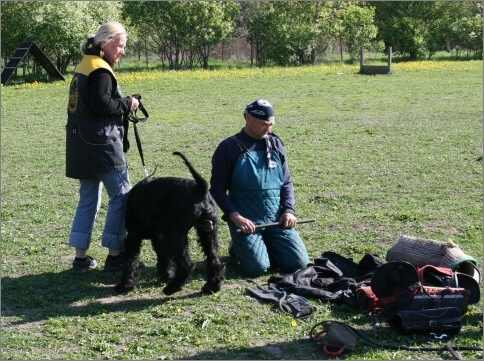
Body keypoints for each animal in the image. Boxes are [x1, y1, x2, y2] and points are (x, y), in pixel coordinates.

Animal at [115, 150, 225, 294]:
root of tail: (200, 189)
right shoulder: (159, 237)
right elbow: (163, 256)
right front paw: (167, 275)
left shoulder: (134, 236)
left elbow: (131, 260)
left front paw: (126, 285)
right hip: (208, 233)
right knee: (214, 260)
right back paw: (211, 287)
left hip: (174, 236)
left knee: (187, 265)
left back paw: (171, 288)